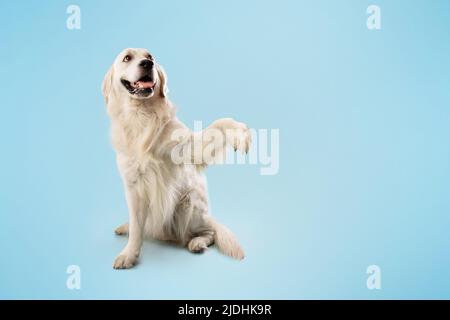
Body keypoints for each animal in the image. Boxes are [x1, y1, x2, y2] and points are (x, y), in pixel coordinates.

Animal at [100, 48, 251, 268]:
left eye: (150, 57)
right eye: (127, 58)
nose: (147, 64)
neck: (142, 115)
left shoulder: (189, 148)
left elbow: (218, 125)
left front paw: (240, 132)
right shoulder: (133, 186)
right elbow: (137, 227)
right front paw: (129, 254)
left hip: (188, 205)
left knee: (209, 232)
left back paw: (197, 242)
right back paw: (126, 227)